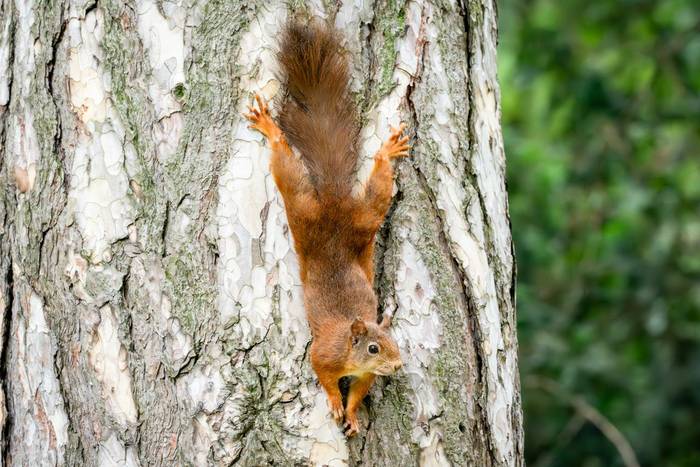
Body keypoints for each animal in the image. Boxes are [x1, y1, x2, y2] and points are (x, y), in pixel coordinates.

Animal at [244, 20, 408, 437]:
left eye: (393, 339)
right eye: (373, 347)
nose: (398, 365)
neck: (351, 355)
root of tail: (334, 203)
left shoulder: (366, 376)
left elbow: (360, 392)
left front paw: (351, 414)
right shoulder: (324, 353)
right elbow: (323, 375)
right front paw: (335, 402)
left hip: (364, 219)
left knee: (377, 189)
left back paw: (387, 152)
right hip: (302, 207)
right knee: (286, 167)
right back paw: (270, 129)